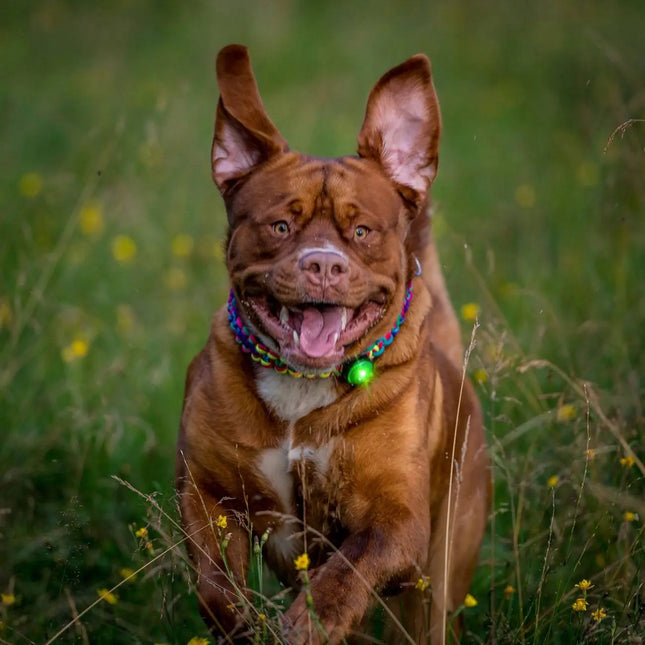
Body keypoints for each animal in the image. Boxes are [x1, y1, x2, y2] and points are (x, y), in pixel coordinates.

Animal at [176, 45, 488, 644]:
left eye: (361, 232)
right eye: (279, 226)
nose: (323, 263)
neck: (301, 389)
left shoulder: (397, 520)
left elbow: (350, 569)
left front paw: (310, 622)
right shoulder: (205, 491)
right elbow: (215, 584)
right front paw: (245, 622)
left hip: (441, 574)